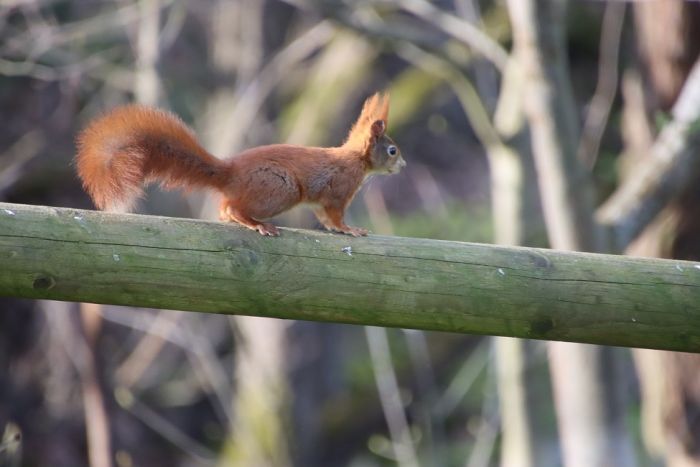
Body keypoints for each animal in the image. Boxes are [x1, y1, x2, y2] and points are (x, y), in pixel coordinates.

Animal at [75, 93, 405, 236]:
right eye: (392, 150)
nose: (402, 165)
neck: (356, 161)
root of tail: (230, 173)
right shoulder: (338, 192)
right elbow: (335, 216)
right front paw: (350, 229)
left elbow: (324, 219)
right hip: (280, 189)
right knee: (232, 208)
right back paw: (256, 224)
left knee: (224, 210)